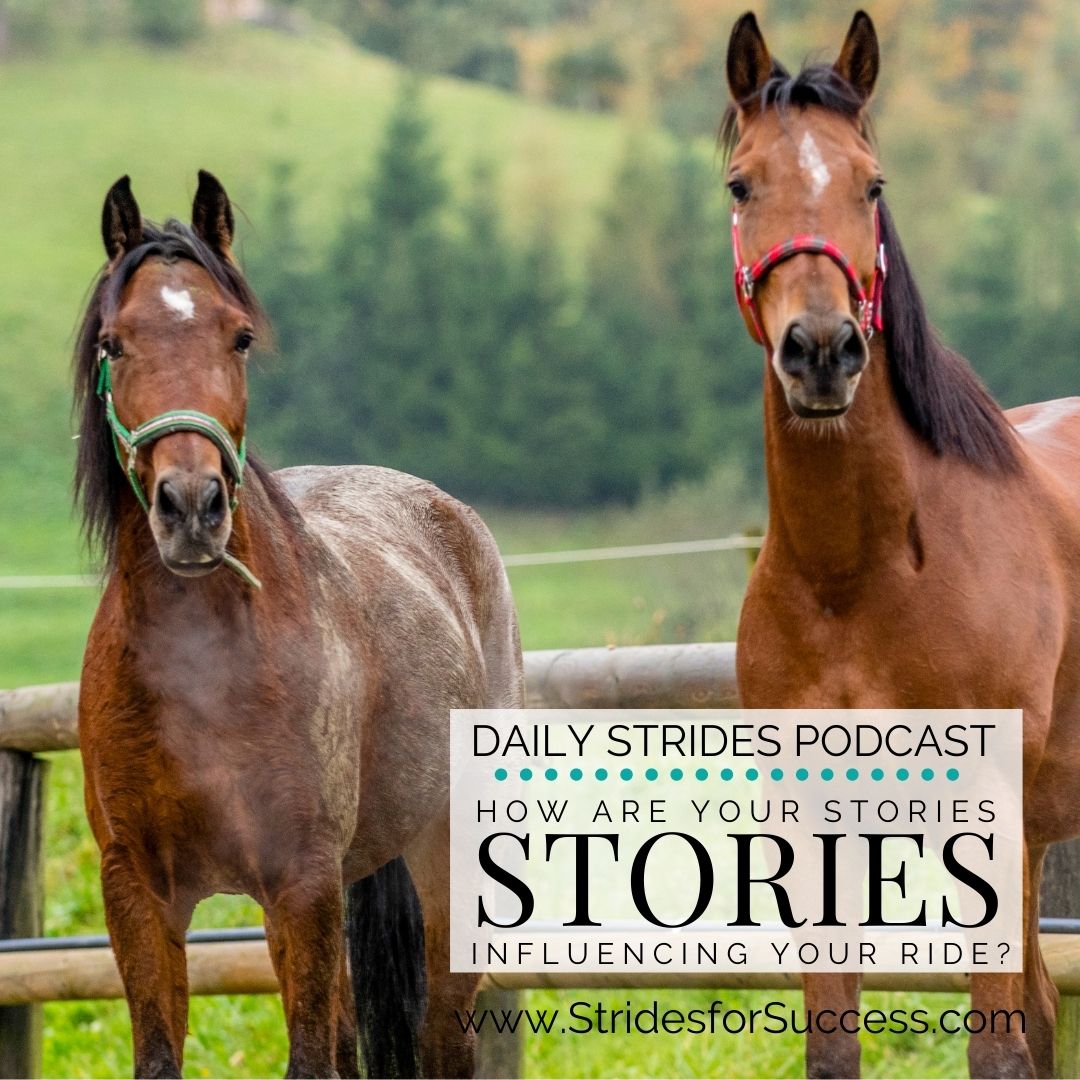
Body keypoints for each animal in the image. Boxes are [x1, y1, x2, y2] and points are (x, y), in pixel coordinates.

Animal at [73, 171, 523, 1079]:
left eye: (239, 336)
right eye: (114, 341)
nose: (192, 506)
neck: (200, 674)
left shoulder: (301, 883)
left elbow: (310, 1057)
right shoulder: (136, 892)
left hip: (445, 863)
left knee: (441, 1039)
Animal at [725, 11, 1080, 1078]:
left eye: (871, 183)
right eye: (741, 184)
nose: (822, 351)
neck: (859, 574)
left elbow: (996, 1053)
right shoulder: (814, 828)